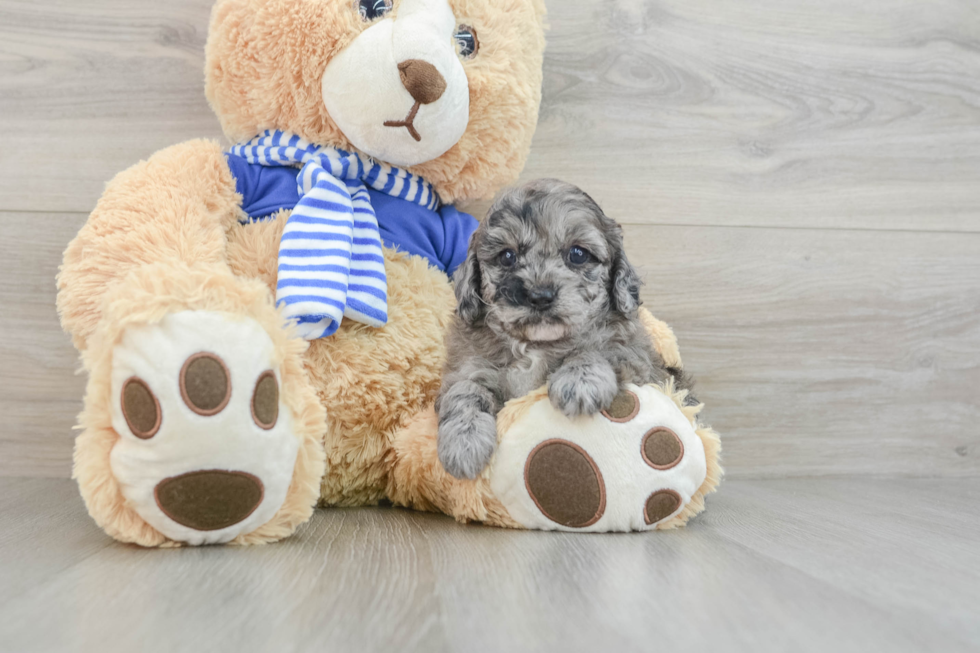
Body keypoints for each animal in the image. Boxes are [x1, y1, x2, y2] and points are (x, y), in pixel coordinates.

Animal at [436, 178, 696, 478]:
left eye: (578, 254)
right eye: (507, 256)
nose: (540, 296)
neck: (536, 345)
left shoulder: (640, 362)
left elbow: (603, 349)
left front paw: (580, 380)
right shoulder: (466, 367)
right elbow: (464, 390)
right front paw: (463, 442)